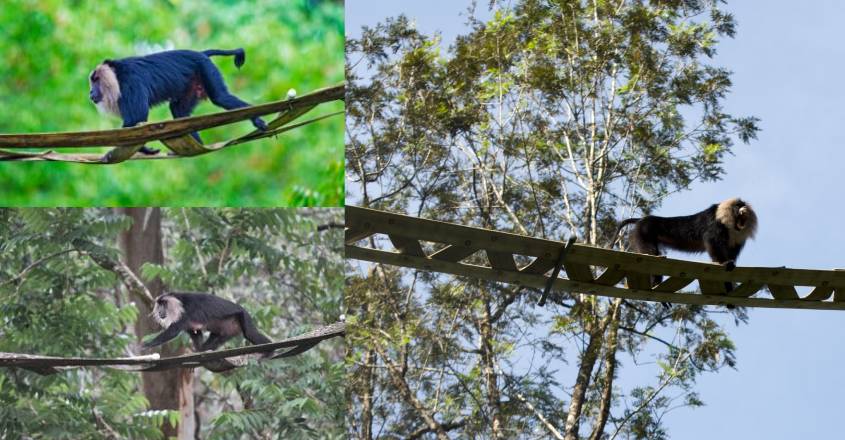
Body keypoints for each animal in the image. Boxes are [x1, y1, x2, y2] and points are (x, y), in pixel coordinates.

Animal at [89, 48, 268, 161]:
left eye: (96, 80)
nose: (91, 92)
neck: (117, 75)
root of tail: (201, 53)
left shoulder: (131, 82)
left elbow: (137, 119)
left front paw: (142, 149)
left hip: (206, 68)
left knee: (221, 97)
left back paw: (256, 120)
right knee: (178, 111)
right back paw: (197, 147)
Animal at [143, 292, 273, 356]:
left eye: (164, 304)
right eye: (159, 305)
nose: (160, 311)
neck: (180, 302)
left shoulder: (187, 311)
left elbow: (173, 331)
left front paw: (146, 345)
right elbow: (195, 333)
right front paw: (199, 349)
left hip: (243, 316)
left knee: (250, 333)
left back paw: (269, 350)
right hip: (228, 329)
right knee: (215, 339)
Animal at [616, 198, 758, 301]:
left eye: (742, 205)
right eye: (737, 206)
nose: (743, 208)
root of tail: (642, 220)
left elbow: (731, 254)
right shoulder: (715, 224)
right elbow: (713, 243)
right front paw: (725, 264)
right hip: (643, 232)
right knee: (650, 255)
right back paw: (656, 282)